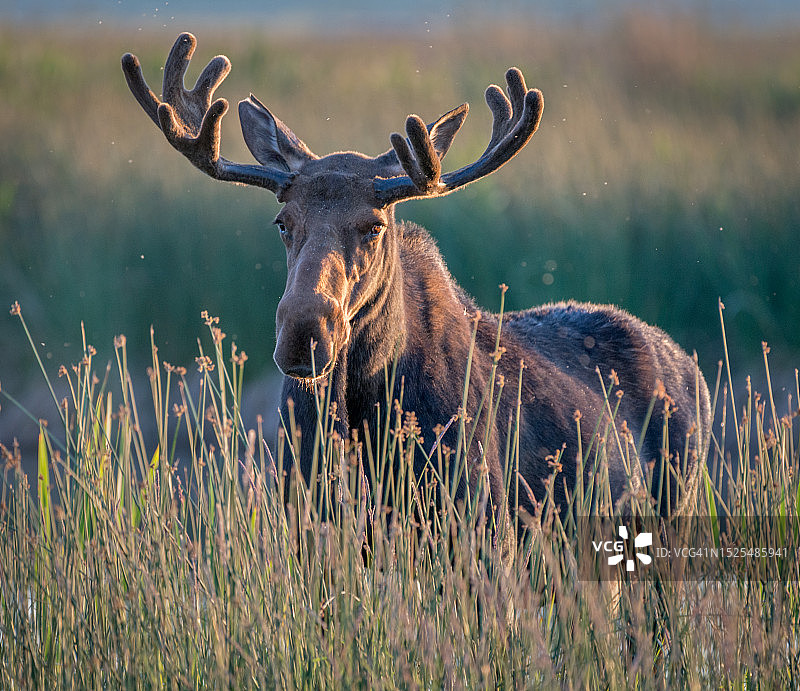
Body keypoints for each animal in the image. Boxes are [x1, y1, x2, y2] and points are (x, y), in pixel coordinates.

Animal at [122, 33, 711, 550]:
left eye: (373, 226)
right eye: (282, 223)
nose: (304, 334)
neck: (362, 408)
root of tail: (693, 368)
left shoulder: (484, 526)